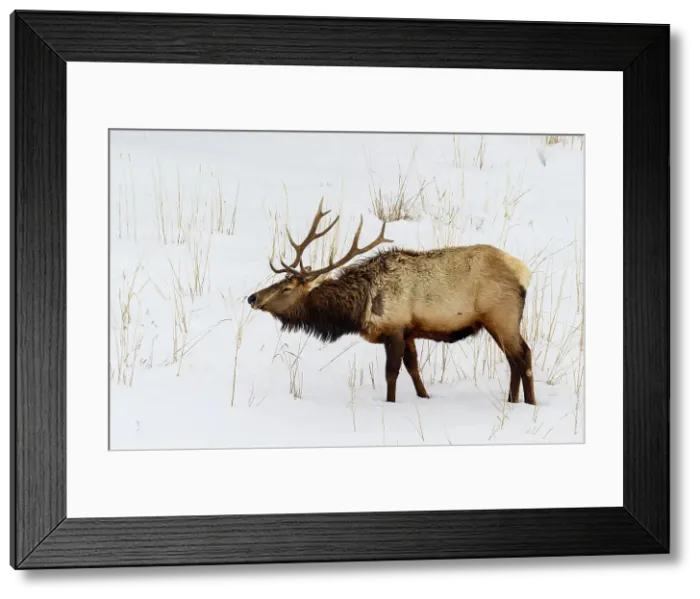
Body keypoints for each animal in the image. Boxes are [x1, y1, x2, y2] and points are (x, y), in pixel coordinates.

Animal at [247, 199, 536, 406]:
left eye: (286, 288)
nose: (252, 297)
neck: (359, 307)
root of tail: (524, 272)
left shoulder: (394, 327)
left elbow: (391, 373)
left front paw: (391, 403)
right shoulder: (409, 332)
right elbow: (414, 369)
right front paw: (425, 397)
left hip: (501, 315)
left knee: (522, 356)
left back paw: (525, 403)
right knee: (518, 358)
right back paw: (517, 401)